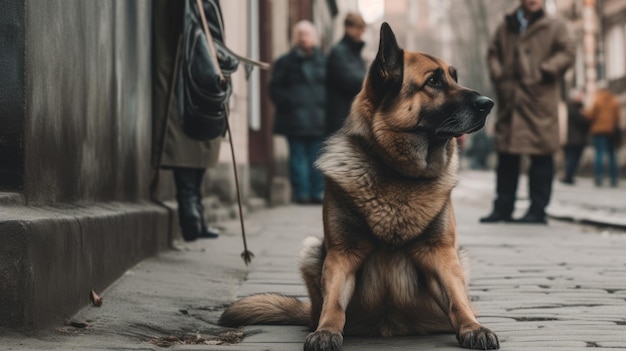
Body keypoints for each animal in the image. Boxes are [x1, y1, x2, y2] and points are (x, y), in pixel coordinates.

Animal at [219, 23, 498, 350]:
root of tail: (392, 326)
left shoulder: (441, 253)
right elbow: (335, 303)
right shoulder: (342, 255)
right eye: (433, 81)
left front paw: (472, 327)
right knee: (321, 304)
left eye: (454, 77)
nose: (489, 104)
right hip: (312, 251)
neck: (397, 173)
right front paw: (326, 331)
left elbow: (457, 299)